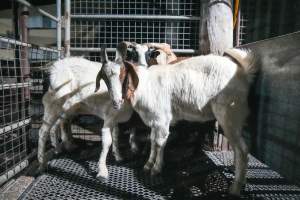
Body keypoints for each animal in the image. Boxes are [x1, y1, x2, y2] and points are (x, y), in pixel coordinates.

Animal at [95, 47, 254, 195]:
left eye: (122, 74)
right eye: (105, 79)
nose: (116, 102)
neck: (145, 85)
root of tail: (243, 72)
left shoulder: (162, 119)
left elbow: (160, 143)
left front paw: (156, 168)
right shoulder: (155, 120)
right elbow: (153, 141)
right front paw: (148, 164)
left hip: (229, 115)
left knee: (242, 149)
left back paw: (235, 188)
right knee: (238, 149)